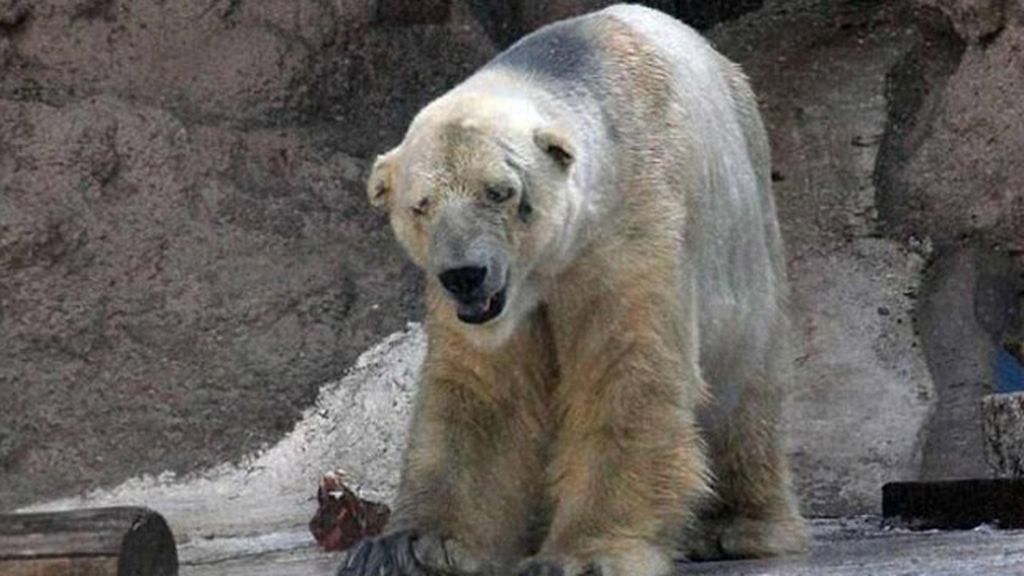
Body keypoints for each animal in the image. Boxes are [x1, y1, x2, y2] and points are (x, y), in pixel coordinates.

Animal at [339, 4, 807, 576]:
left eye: (500, 192)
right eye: (421, 205)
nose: (466, 273)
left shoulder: (628, 232)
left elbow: (625, 371)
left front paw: (578, 555)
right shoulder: (480, 307)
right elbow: (484, 391)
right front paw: (405, 546)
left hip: (746, 239)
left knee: (746, 389)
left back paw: (738, 525)